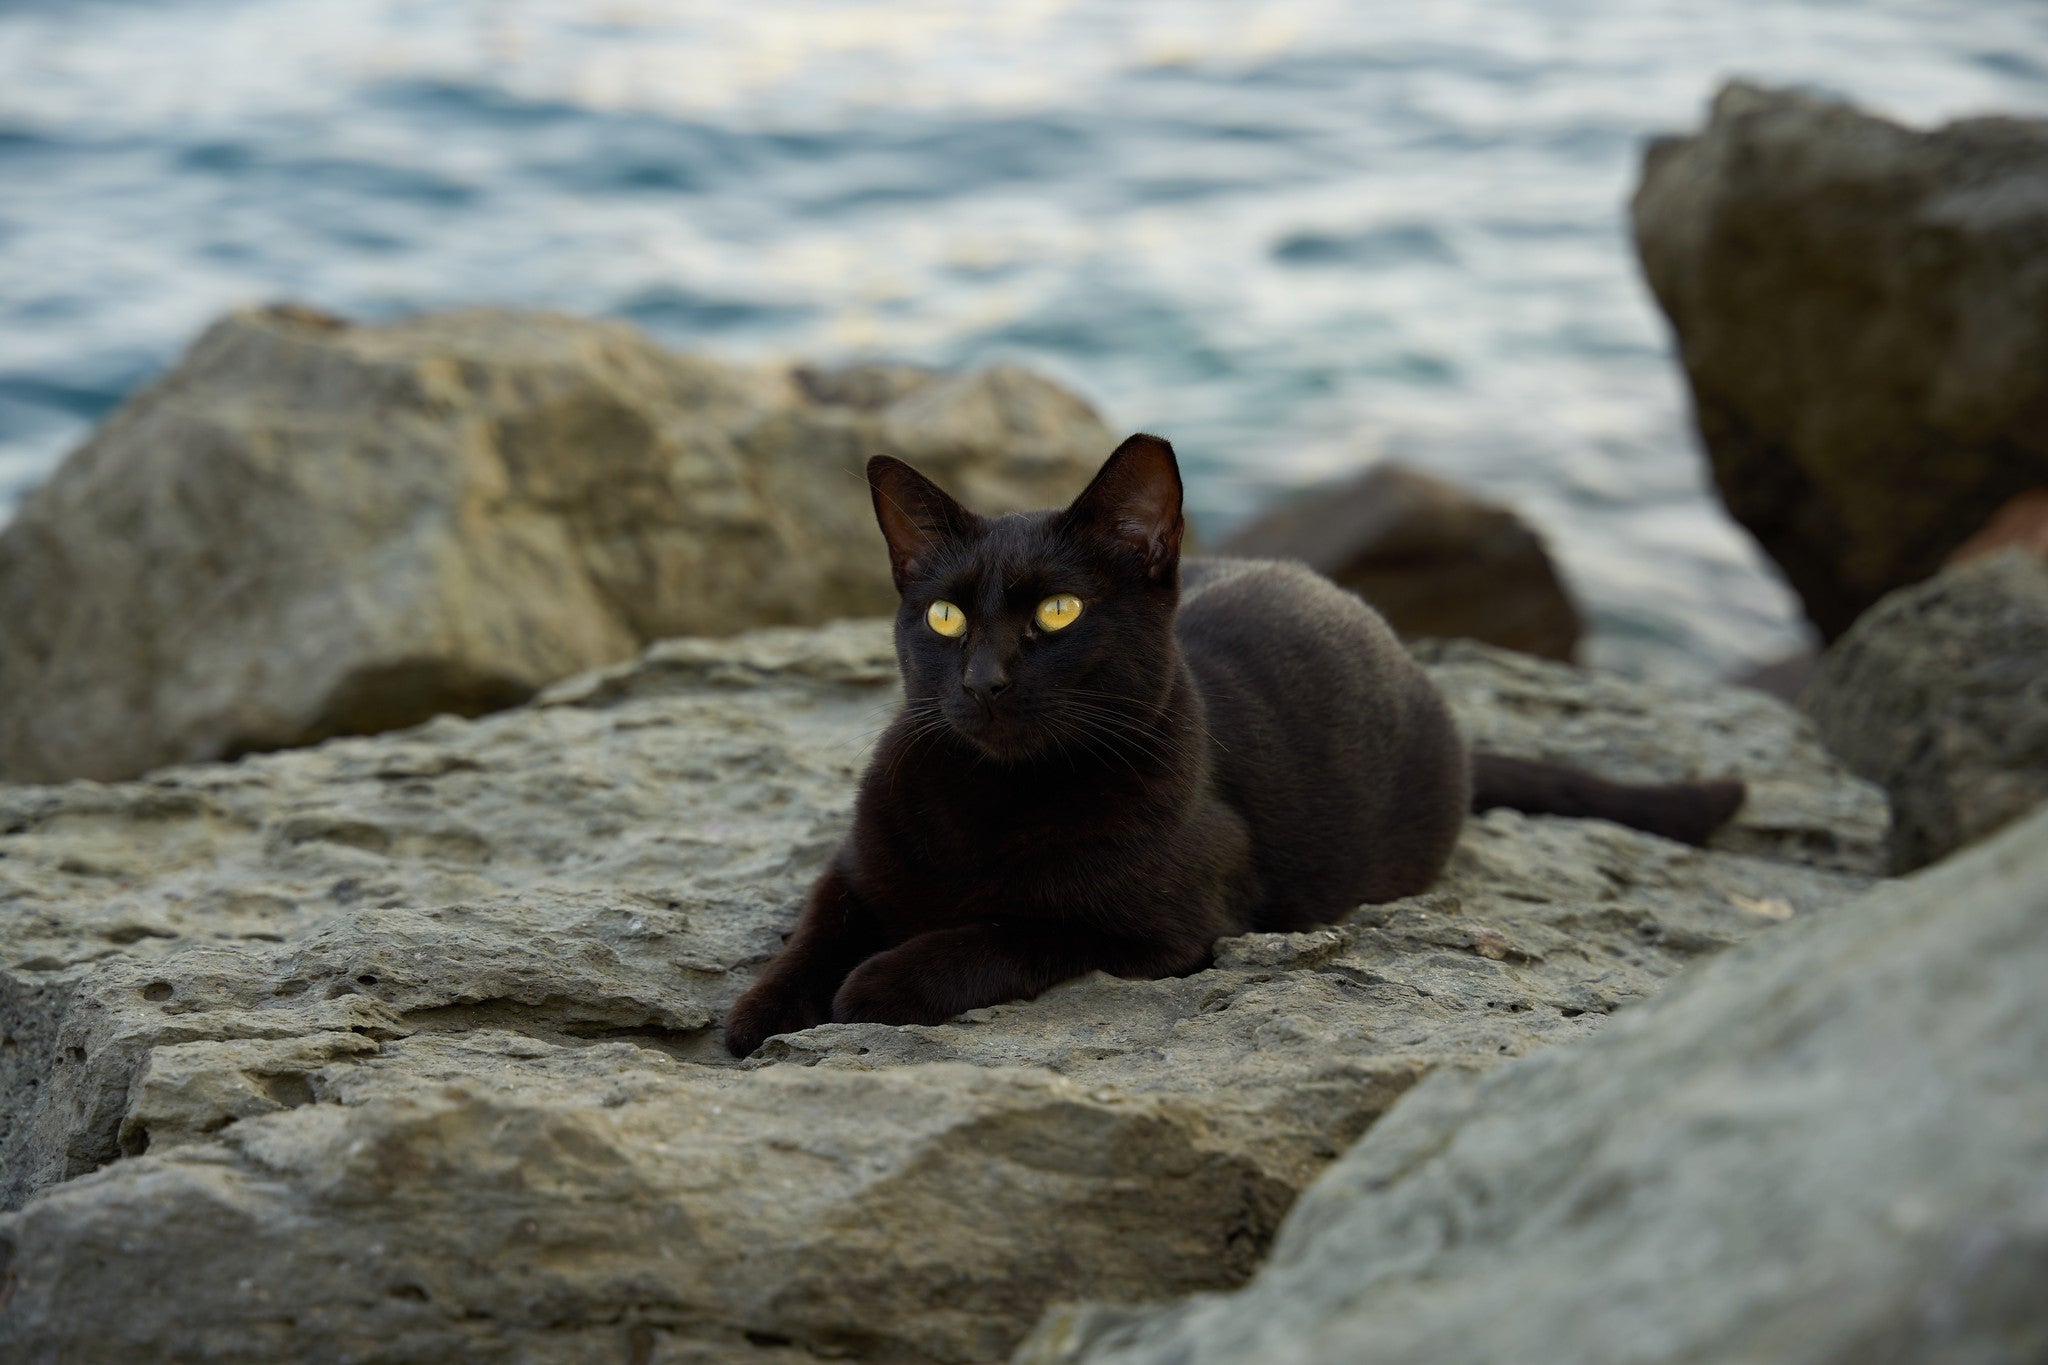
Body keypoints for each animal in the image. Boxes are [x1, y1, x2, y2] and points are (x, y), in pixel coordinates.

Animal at [720, 437, 1744, 1055]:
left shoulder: (1163, 926)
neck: (993, 800)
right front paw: (762, 1008)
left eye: (1059, 612)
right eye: (944, 616)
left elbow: (1004, 930)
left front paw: (877, 980)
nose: (982, 681)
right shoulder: (855, 863)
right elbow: (817, 926)